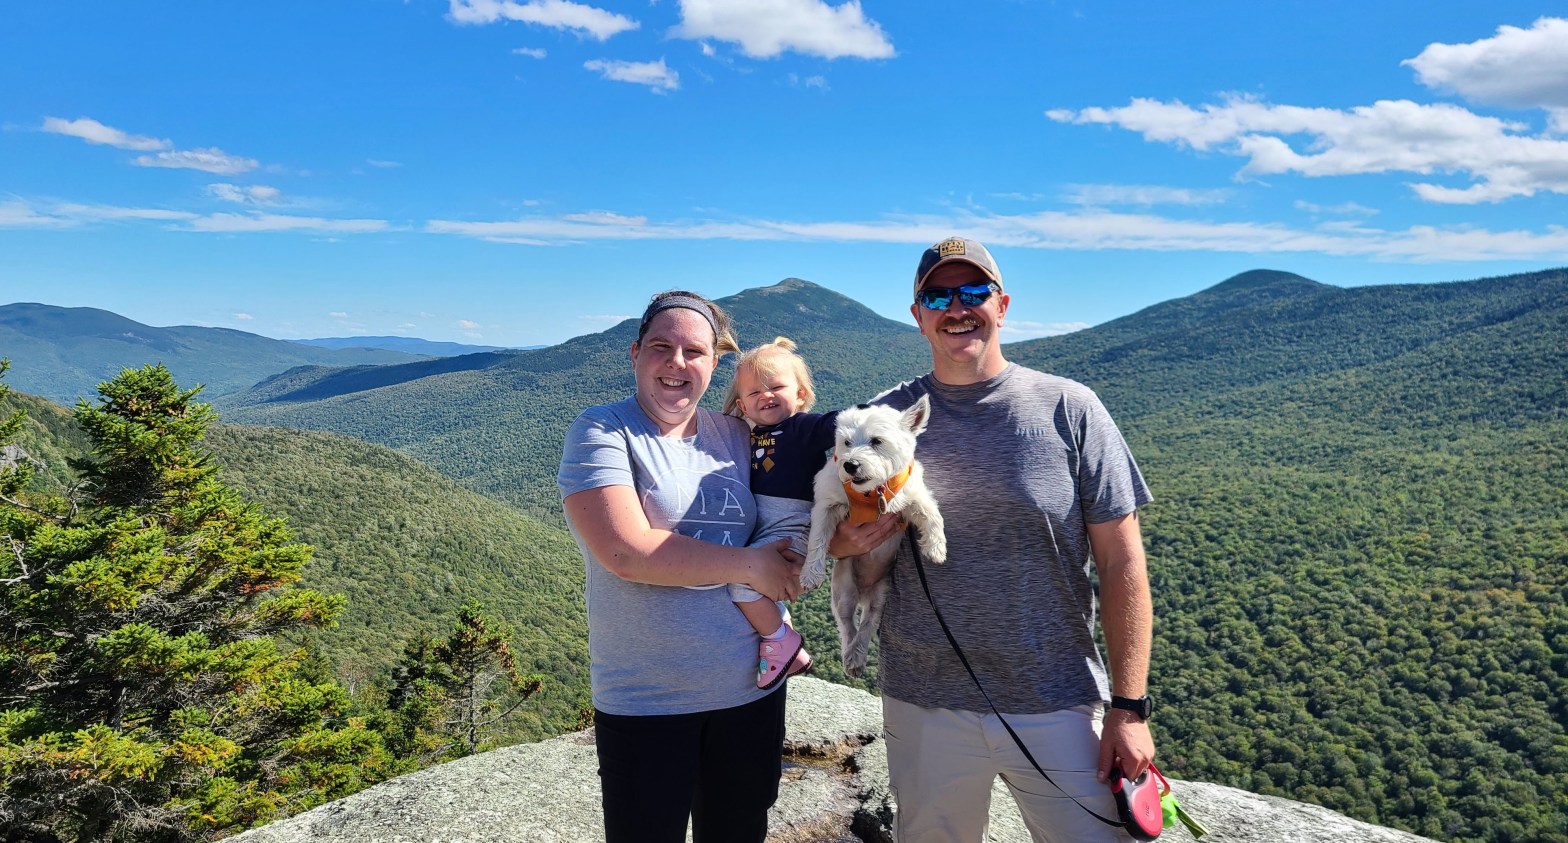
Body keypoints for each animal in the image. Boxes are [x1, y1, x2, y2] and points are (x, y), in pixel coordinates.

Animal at [801, 395, 945, 677]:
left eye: (877, 441)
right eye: (846, 442)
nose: (850, 464)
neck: (871, 493)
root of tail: (864, 592)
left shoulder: (912, 495)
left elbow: (932, 513)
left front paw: (936, 548)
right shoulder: (826, 506)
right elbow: (817, 539)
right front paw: (810, 574)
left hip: (881, 594)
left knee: (868, 622)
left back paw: (857, 656)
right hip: (843, 590)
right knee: (847, 625)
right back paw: (851, 657)